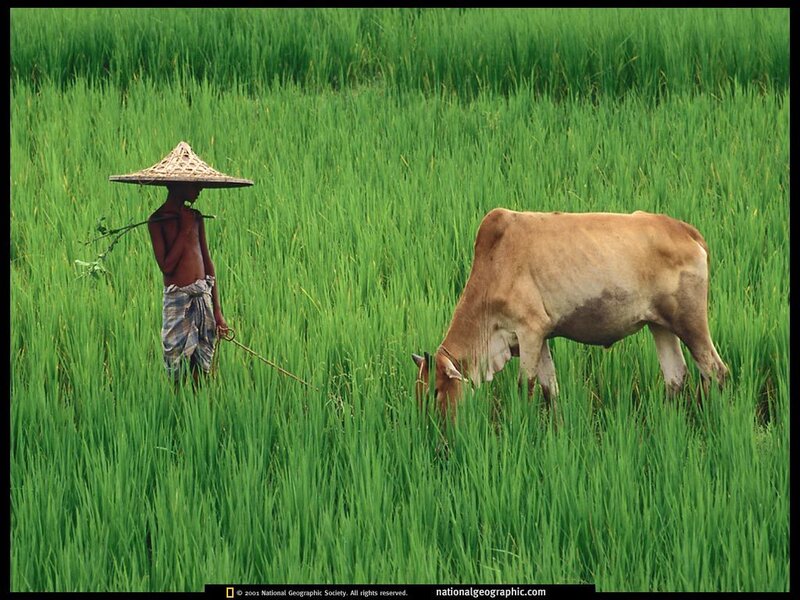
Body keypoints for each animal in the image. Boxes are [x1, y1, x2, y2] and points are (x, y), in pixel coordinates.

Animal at [412, 208, 728, 419]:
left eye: (436, 391)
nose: (433, 427)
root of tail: (687, 231)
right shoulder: (539, 338)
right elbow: (549, 389)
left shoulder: (529, 332)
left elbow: (525, 387)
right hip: (659, 324)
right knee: (675, 376)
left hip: (690, 322)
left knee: (715, 370)